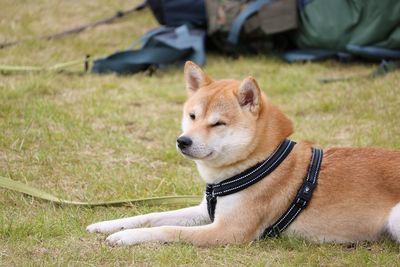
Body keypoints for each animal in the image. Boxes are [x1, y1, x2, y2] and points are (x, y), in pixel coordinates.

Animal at [86, 61, 400, 248]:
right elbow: (154, 215)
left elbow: (167, 230)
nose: (183, 141)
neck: (257, 162)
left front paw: (126, 236)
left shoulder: (228, 231)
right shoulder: (205, 211)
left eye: (218, 124)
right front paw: (107, 224)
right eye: (192, 116)